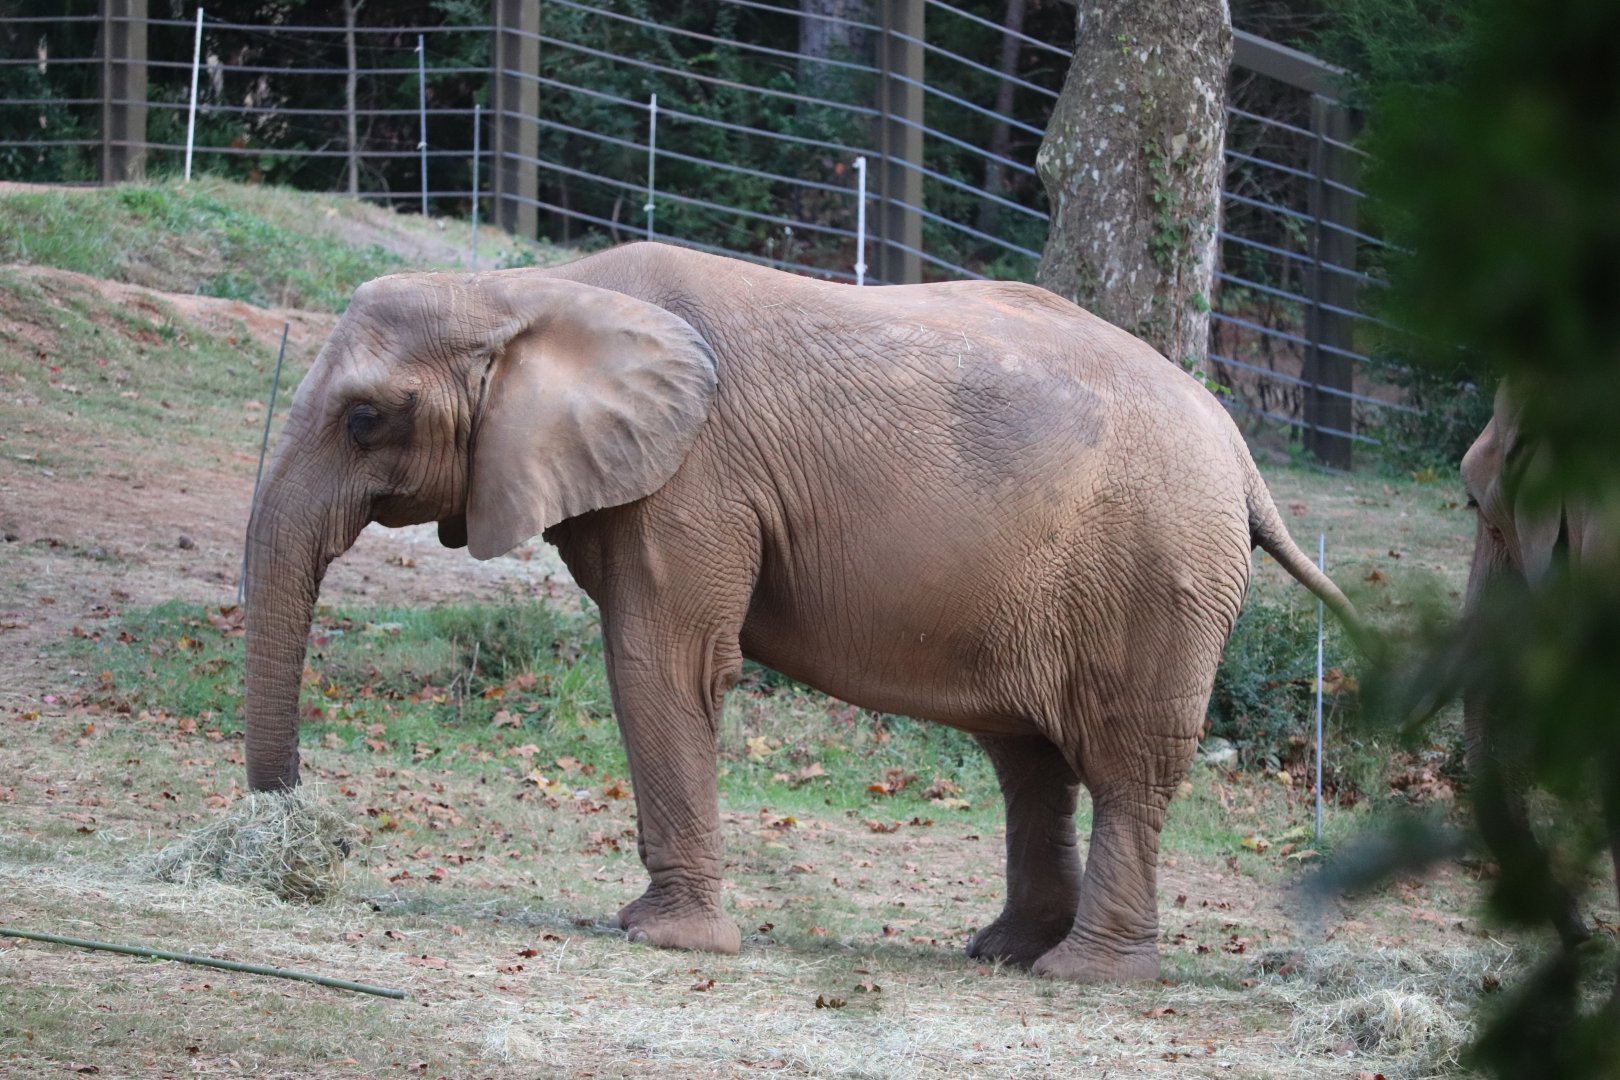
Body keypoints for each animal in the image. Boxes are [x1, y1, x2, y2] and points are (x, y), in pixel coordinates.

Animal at [241, 241, 1359, 982]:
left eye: (364, 418)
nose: (303, 850)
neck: (526, 286)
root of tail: (1242, 450)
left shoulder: (695, 481)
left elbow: (663, 664)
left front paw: (661, 939)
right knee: (1029, 758)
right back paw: (1003, 953)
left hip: (1160, 574)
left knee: (1124, 765)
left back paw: (1081, 976)